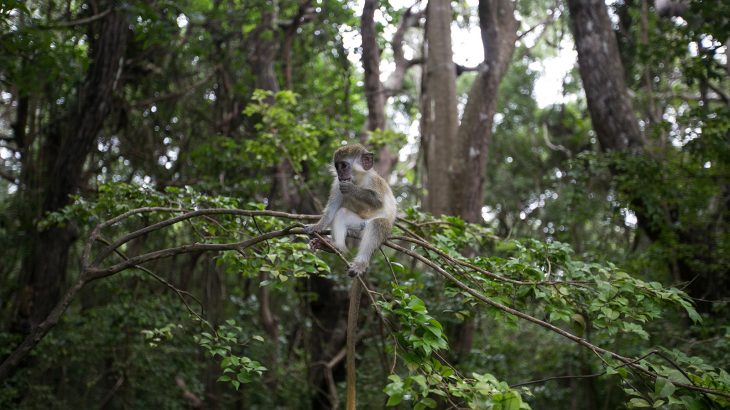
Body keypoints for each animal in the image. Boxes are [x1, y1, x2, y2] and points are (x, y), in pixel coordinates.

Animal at [304, 143, 396, 278]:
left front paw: (351, 189)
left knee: (378, 224)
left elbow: (378, 201)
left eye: (344, 166)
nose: (340, 175)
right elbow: (331, 210)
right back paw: (335, 246)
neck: (358, 180)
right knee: (342, 213)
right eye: (337, 166)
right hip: (358, 226)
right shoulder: (337, 184)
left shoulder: (374, 181)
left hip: (380, 227)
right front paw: (317, 226)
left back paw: (360, 264)